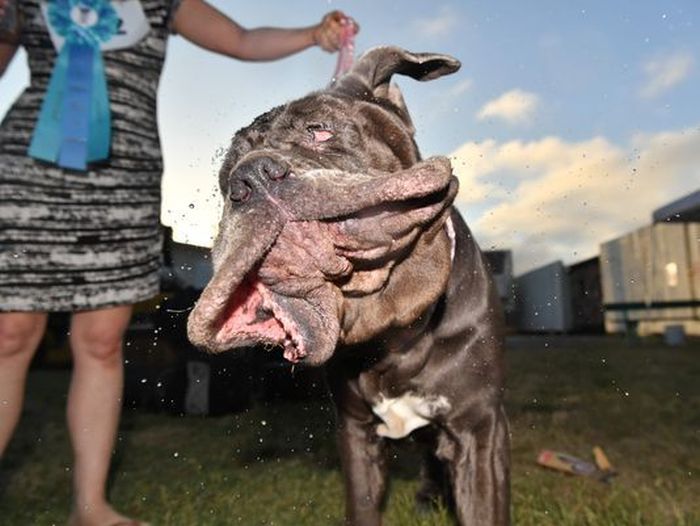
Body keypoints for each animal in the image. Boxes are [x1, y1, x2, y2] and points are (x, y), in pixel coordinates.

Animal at [189, 46, 512, 526]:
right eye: (225, 177)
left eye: (320, 130)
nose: (249, 178)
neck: (393, 331)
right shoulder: (356, 436)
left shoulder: (480, 430)